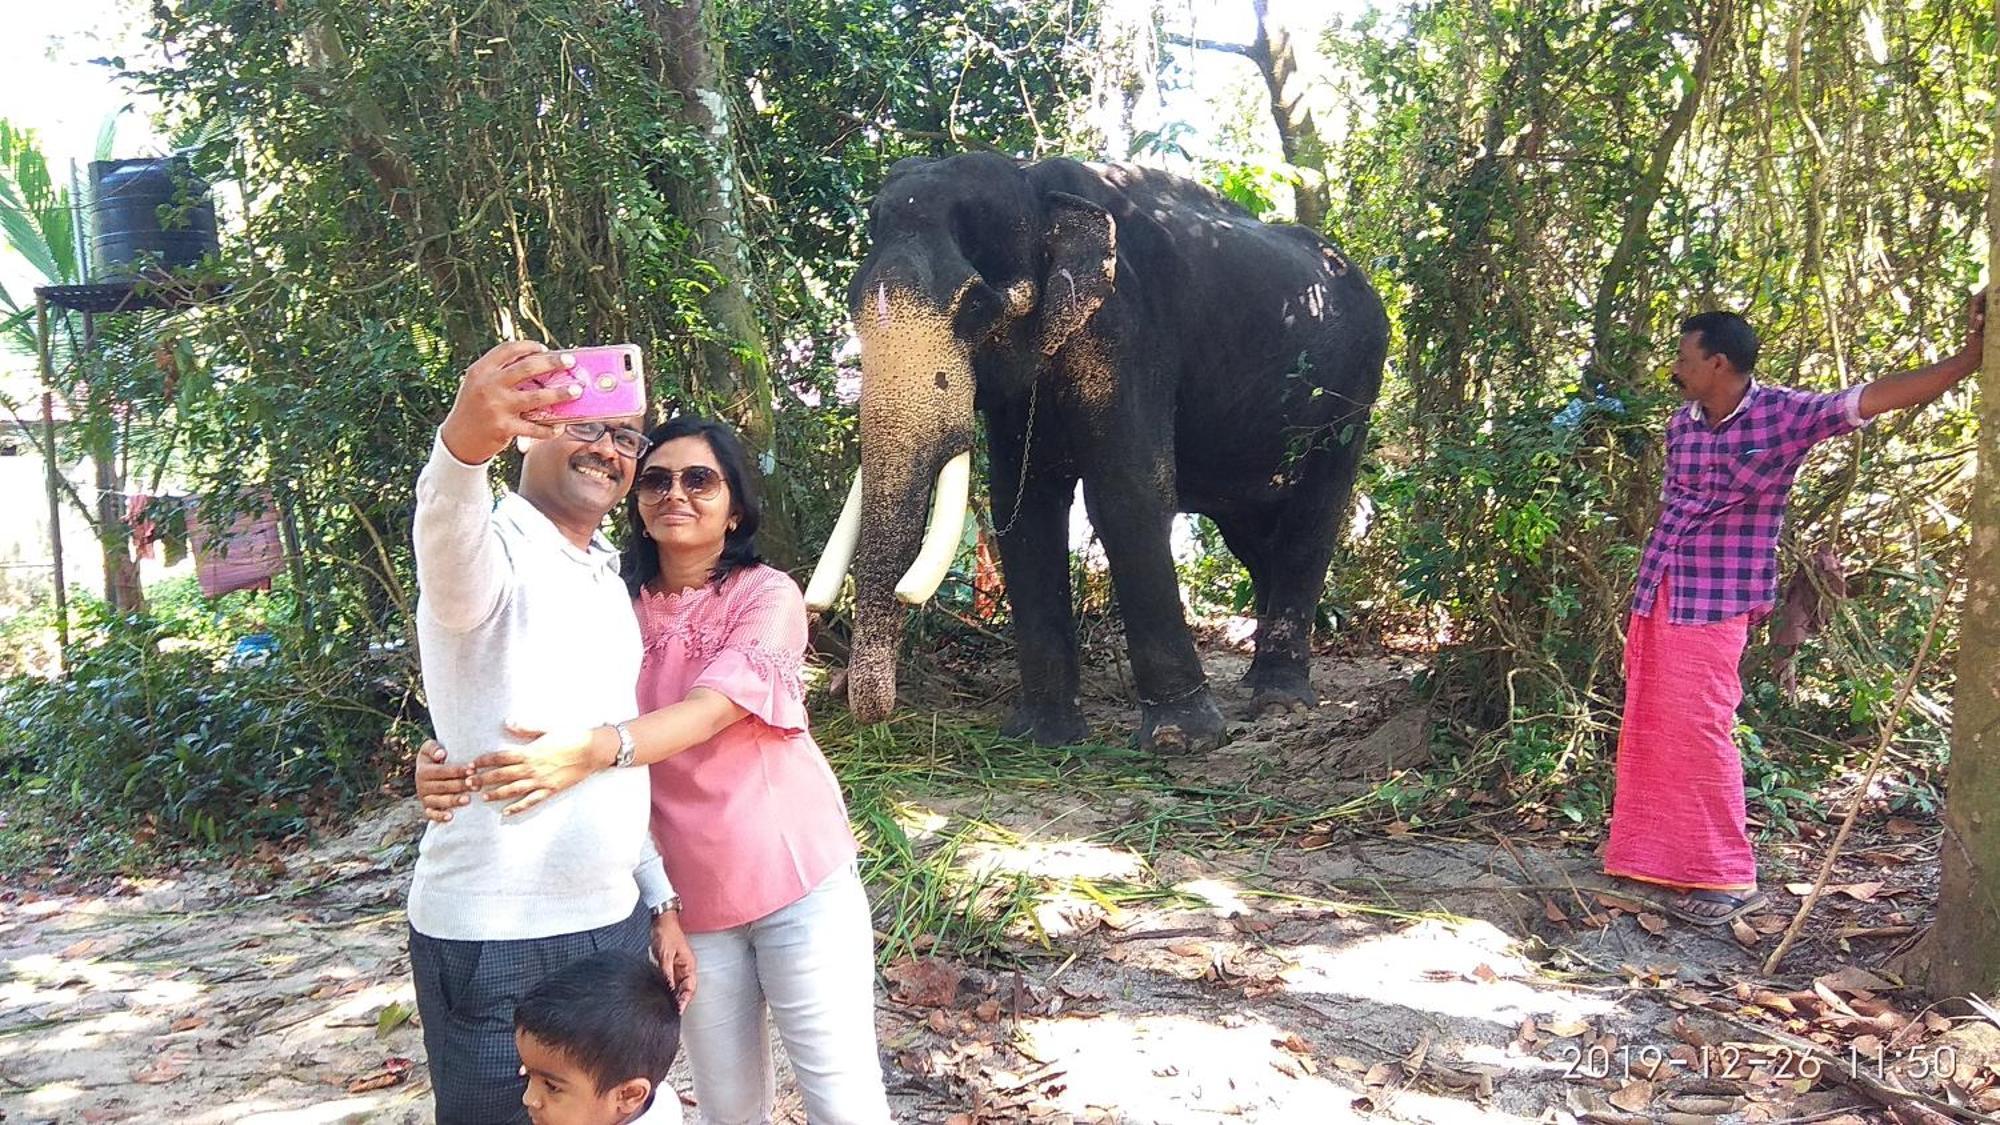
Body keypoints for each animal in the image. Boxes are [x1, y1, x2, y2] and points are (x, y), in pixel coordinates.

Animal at [804, 147, 1384, 744]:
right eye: (851, 303)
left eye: (975, 306)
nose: (857, 704)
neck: (1035, 188)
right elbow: (1023, 507)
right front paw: (1042, 736)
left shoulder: (1127, 331)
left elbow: (1129, 494)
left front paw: (1182, 739)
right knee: (1251, 534)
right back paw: (1256, 681)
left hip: (1354, 389)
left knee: (1314, 515)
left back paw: (1279, 701)